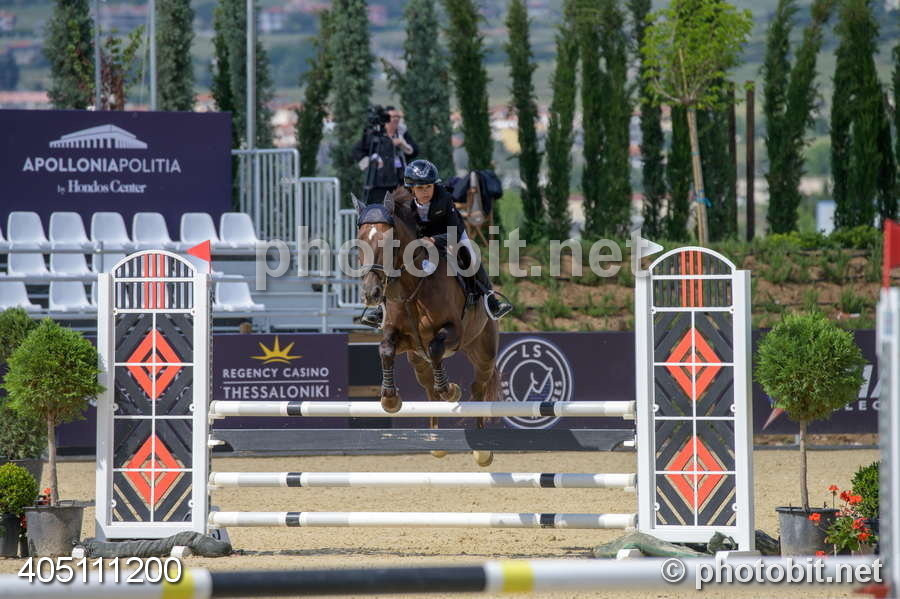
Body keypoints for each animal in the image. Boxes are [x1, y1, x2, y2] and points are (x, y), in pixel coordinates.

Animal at [354, 187, 500, 467]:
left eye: (389, 243)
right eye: (359, 242)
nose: (370, 294)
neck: (412, 288)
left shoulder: (453, 332)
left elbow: (435, 348)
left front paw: (452, 391)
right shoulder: (402, 339)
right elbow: (385, 349)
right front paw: (390, 400)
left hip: (483, 350)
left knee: (478, 388)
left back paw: (482, 451)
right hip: (416, 360)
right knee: (430, 389)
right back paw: (436, 442)